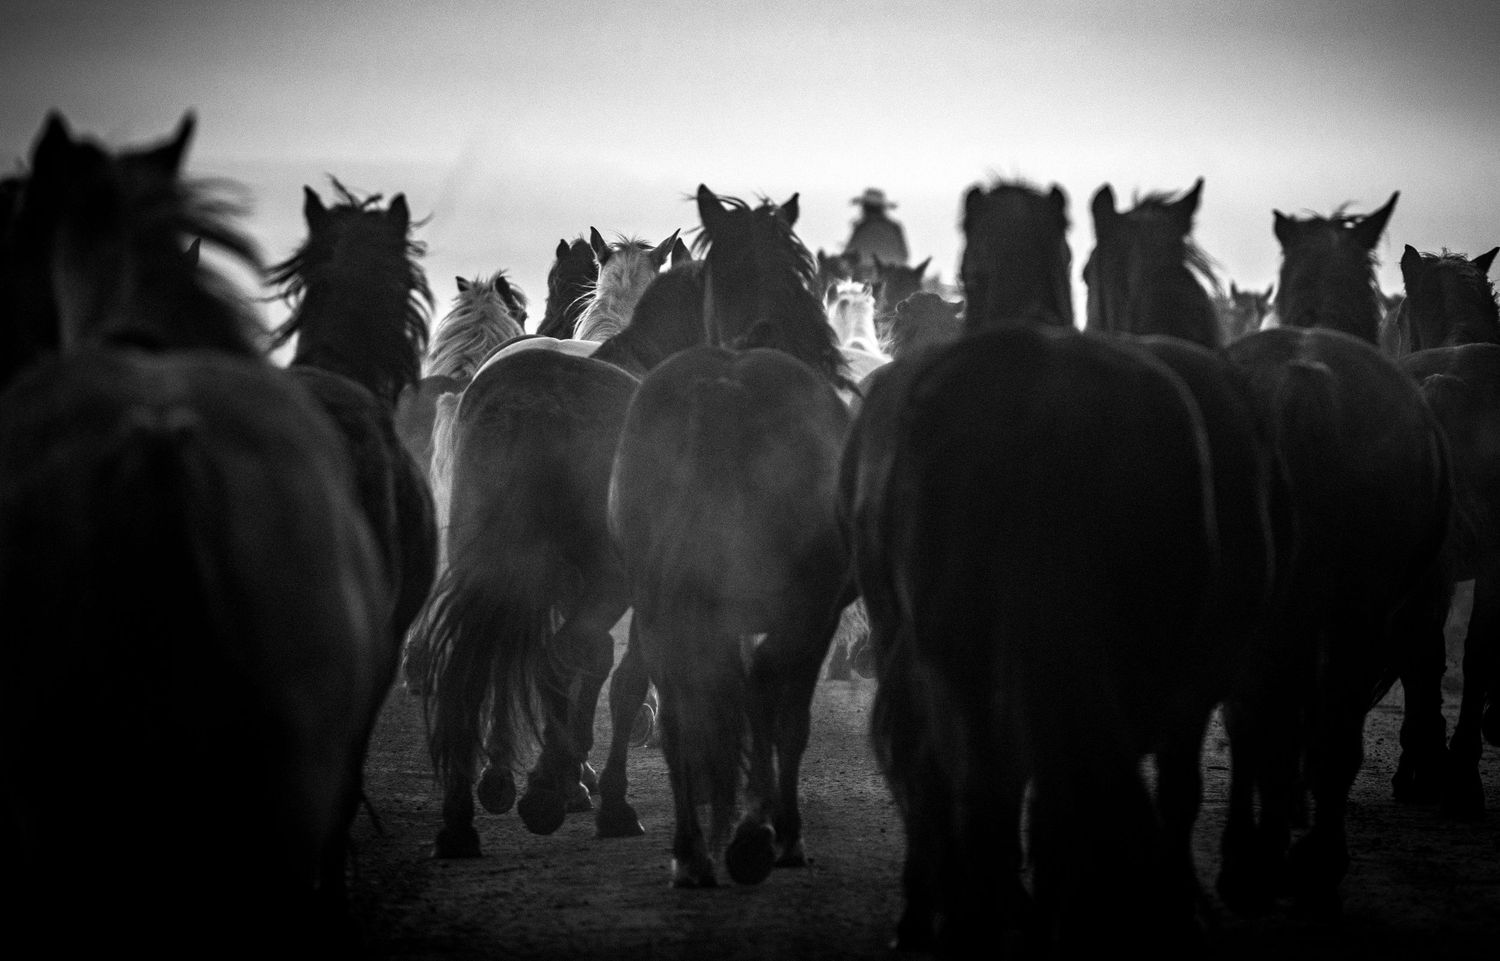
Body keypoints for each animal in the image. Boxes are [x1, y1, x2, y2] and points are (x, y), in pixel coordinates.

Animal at [607, 184, 854, 888]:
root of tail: (725, 386)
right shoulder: (818, 614)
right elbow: (783, 715)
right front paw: (779, 829)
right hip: (800, 604)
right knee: (766, 694)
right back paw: (754, 836)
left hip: (662, 603)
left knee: (679, 703)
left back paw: (691, 850)